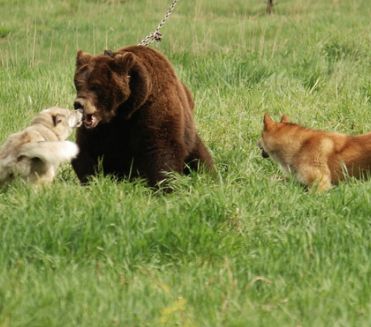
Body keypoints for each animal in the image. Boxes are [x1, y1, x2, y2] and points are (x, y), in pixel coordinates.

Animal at [72, 44, 214, 191]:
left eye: (96, 86)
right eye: (78, 84)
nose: (79, 104)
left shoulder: (152, 107)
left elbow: (162, 149)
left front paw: (165, 187)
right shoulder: (102, 128)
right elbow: (86, 149)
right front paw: (92, 181)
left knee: (200, 158)